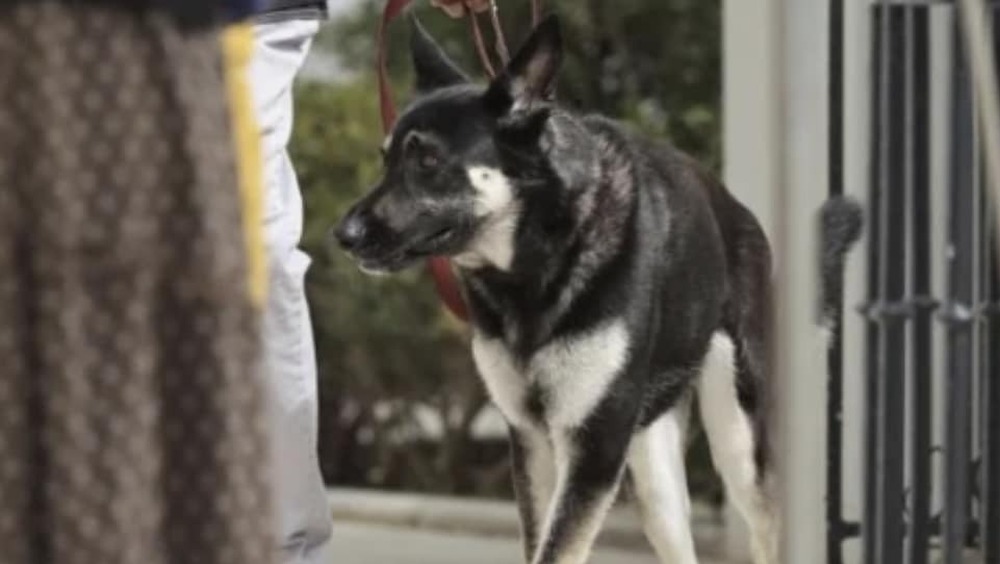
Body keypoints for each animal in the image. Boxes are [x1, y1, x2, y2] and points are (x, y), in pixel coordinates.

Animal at [334, 14, 860, 564]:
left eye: (428, 162)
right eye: (386, 160)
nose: (341, 236)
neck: (538, 260)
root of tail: (739, 212)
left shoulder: (594, 450)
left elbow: (557, 549)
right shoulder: (534, 445)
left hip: (740, 443)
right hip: (655, 479)